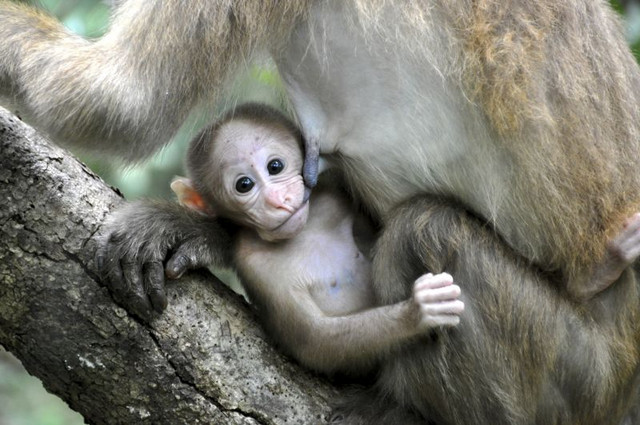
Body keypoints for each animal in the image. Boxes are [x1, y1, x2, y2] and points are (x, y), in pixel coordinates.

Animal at [171, 103, 464, 374]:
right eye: (244, 185)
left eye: (275, 166)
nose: (277, 200)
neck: (305, 231)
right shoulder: (255, 264)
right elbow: (315, 342)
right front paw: (416, 313)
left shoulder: (333, 195)